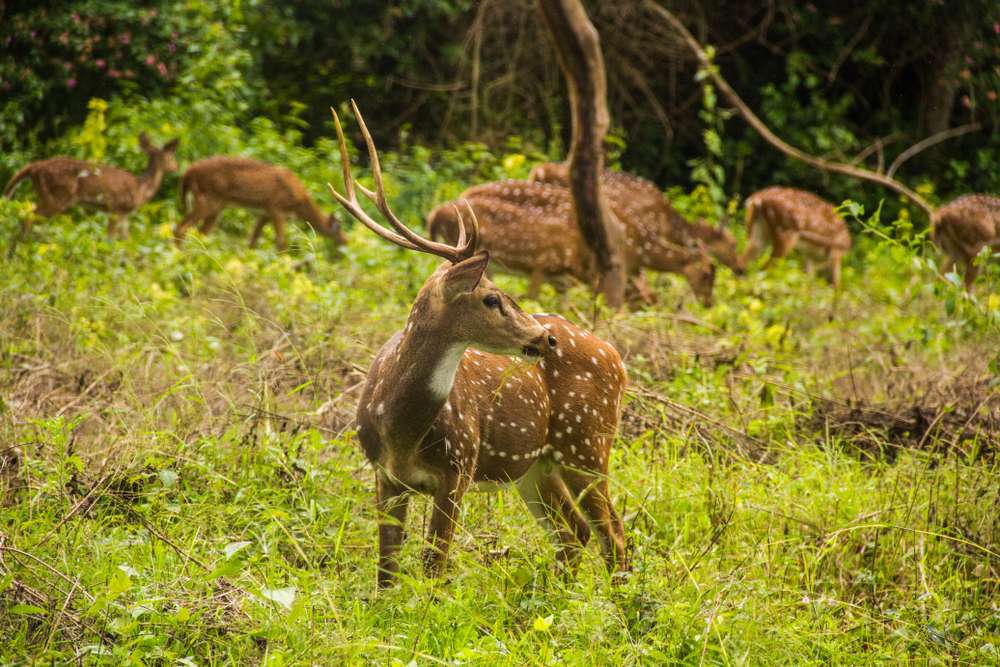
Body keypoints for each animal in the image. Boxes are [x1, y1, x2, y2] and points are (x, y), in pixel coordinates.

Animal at [3, 133, 179, 244]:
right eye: (170, 157)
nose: (177, 167)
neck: (141, 188)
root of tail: (34, 168)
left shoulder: (122, 215)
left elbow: (127, 240)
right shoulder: (117, 209)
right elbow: (112, 239)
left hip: (46, 195)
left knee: (29, 215)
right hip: (58, 196)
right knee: (30, 217)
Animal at [173, 156, 348, 250]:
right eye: (338, 230)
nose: (347, 241)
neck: (298, 203)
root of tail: (187, 173)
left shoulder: (265, 213)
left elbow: (252, 242)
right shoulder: (276, 208)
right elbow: (281, 243)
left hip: (216, 206)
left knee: (200, 233)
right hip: (208, 200)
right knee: (181, 228)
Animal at [330, 102, 628, 589]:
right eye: (491, 297)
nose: (545, 337)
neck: (401, 432)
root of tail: (616, 357)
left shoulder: (459, 468)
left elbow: (434, 566)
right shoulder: (384, 475)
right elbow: (387, 571)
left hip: (587, 440)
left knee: (614, 535)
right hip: (537, 466)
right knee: (575, 534)